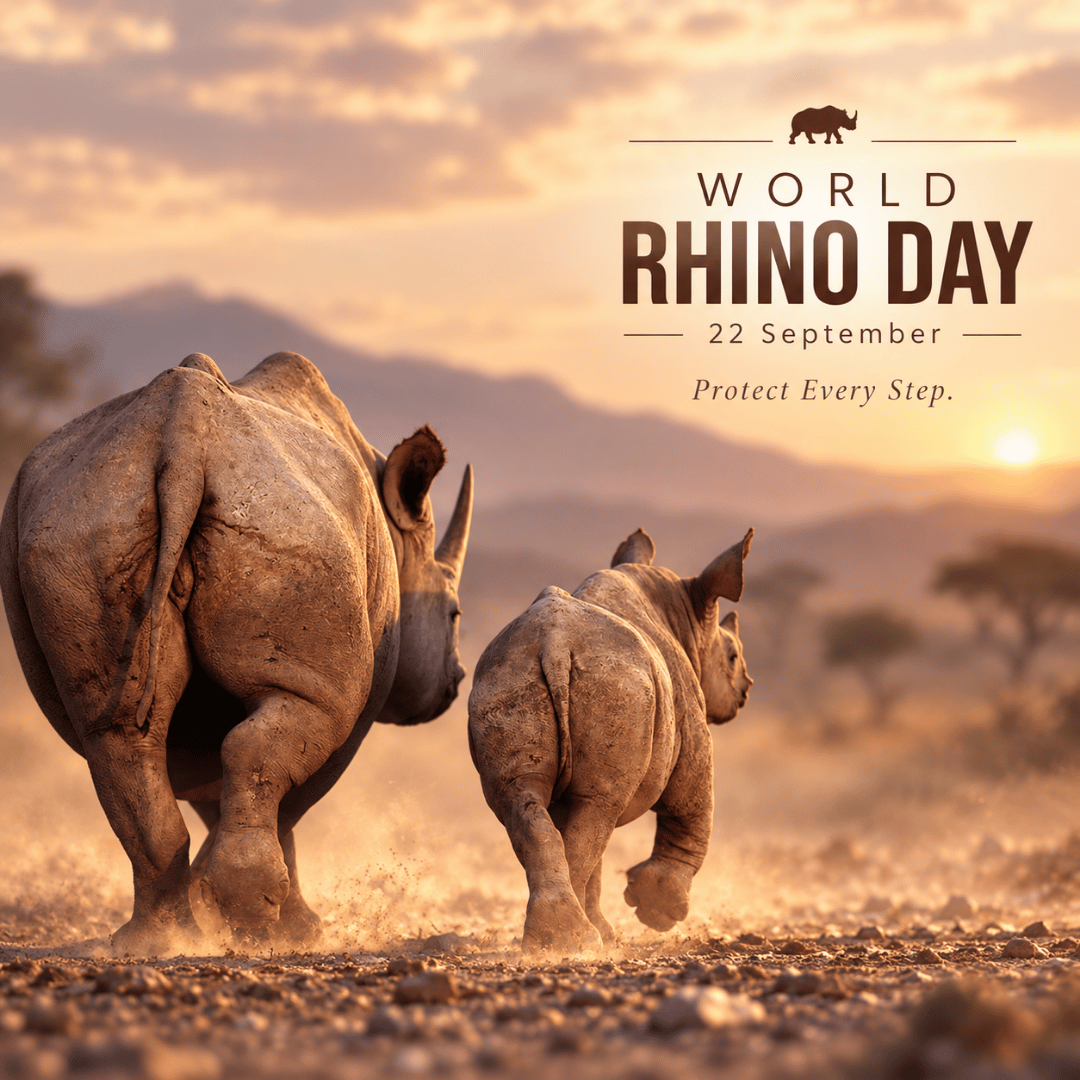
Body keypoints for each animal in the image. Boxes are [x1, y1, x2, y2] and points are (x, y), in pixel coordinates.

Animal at [0, 350, 472, 956]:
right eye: (454, 614)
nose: (454, 682)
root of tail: (183, 441)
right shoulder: (355, 698)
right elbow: (292, 798)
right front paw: (294, 928)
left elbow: (214, 785)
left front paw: (214, 904)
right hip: (286, 522)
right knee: (283, 725)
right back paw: (249, 922)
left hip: (81, 525)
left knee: (118, 738)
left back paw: (156, 940)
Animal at [468, 526, 752, 953]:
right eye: (733, 657)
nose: (745, 692)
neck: (685, 617)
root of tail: (554, 643)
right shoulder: (690, 724)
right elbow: (690, 806)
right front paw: (656, 910)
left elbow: (593, 857)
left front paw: (606, 931)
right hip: (617, 686)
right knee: (598, 808)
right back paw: (575, 943)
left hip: (508, 676)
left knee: (528, 800)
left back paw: (555, 943)